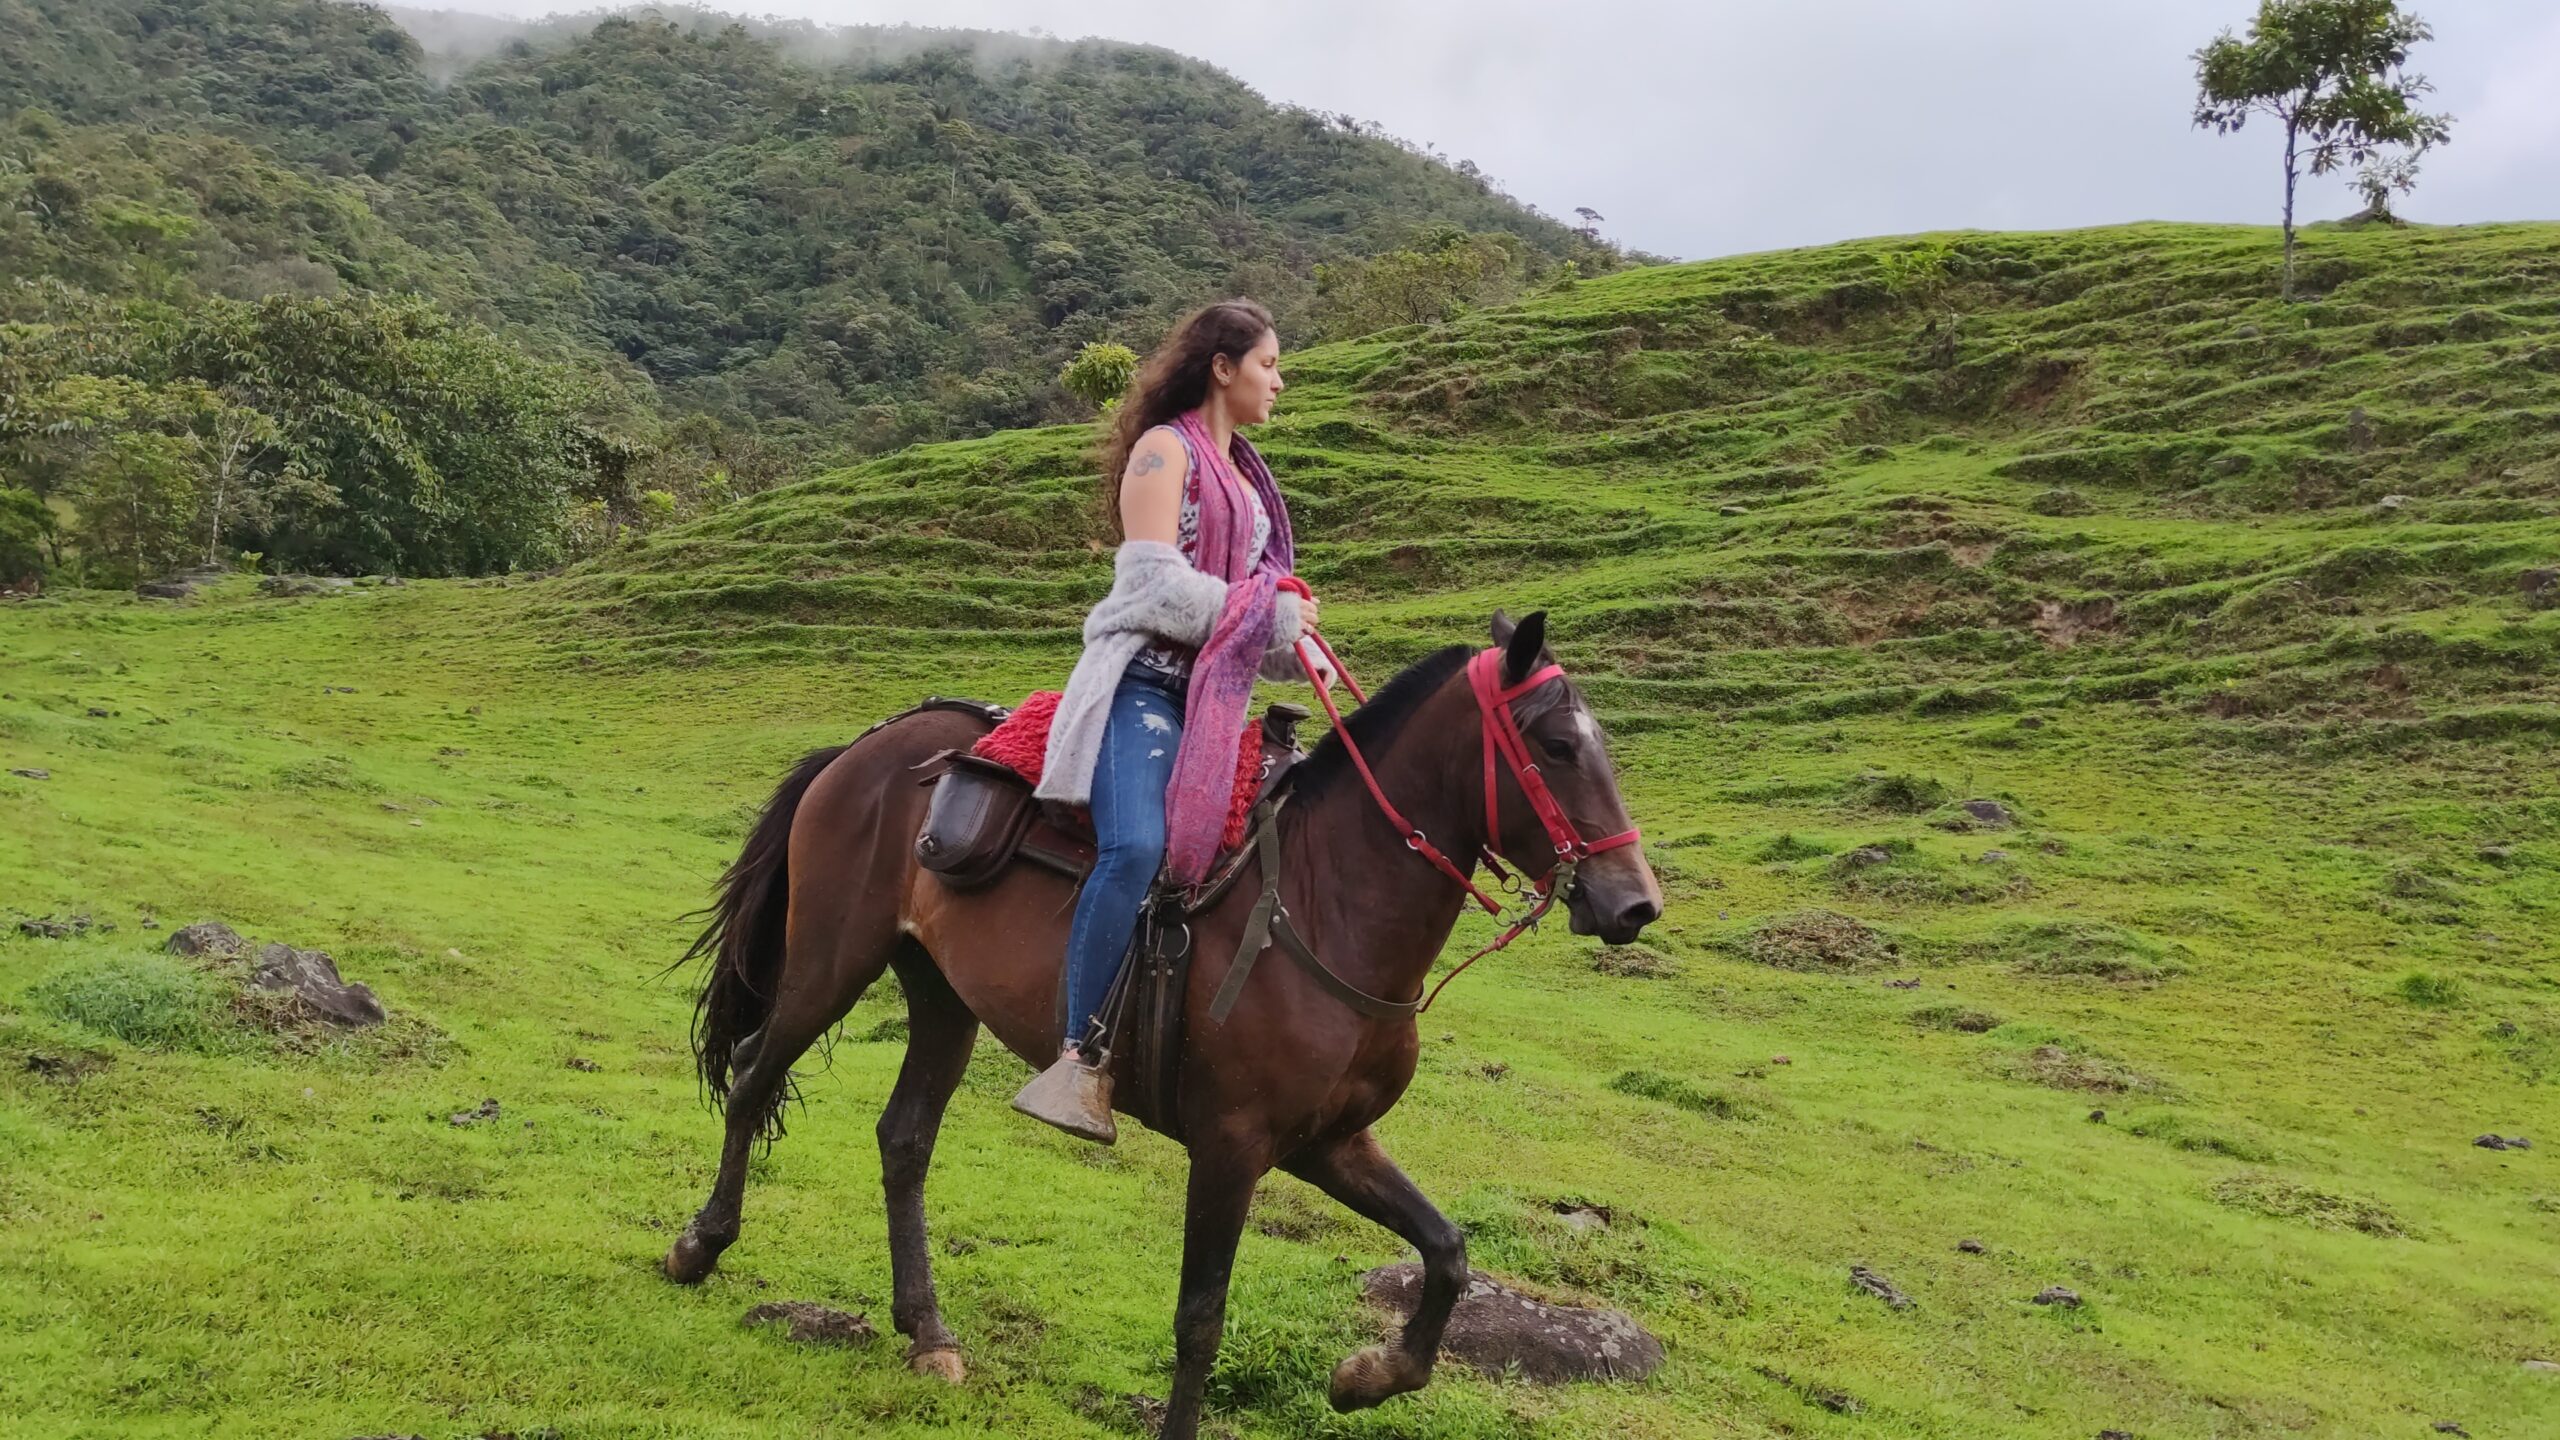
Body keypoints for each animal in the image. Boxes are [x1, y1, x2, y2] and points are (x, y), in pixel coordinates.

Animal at [663, 610, 1663, 1439]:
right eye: (1558, 744)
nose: (1634, 904)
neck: (1321, 903)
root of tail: (868, 747)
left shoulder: (1330, 1142)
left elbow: (1448, 1251)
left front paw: (1369, 1376)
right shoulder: (1231, 1146)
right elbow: (1201, 1319)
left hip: (944, 998)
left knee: (903, 1139)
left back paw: (928, 1332)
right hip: (831, 963)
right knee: (752, 1072)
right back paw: (699, 1246)